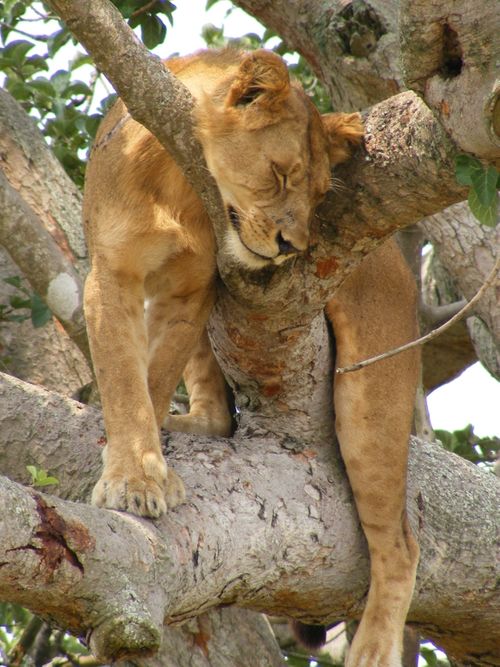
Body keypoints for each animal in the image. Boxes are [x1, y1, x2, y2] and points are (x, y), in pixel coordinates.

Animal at [83, 49, 420, 667]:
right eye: (281, 173)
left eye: (320, 193)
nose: (295, 246)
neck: (178, 182)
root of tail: (402, 273)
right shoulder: (112, 276)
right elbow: (127, 384)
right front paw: (139, 476)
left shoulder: (196, 288)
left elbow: (153, 379)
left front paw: (143, 476)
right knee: (217, 418)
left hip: (371, 394)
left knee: (402, 546)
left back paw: (372, 650)